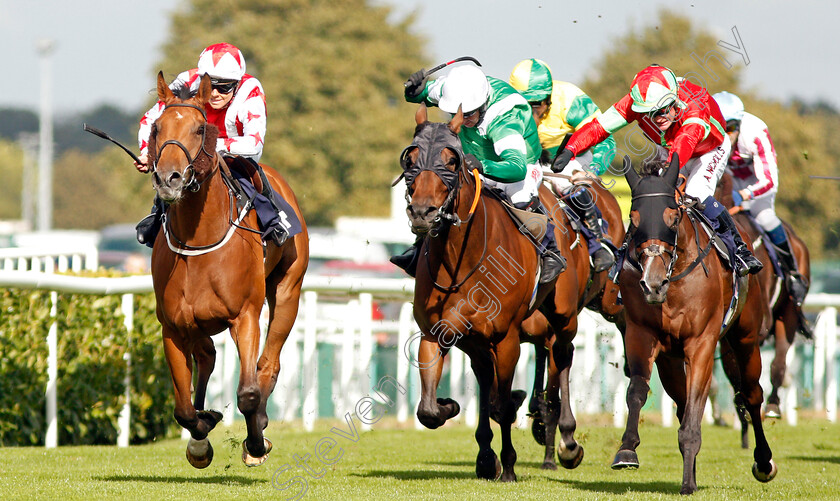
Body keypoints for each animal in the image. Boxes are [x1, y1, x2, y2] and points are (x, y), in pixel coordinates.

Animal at [148, 72, 308, 466]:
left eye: (200, 128)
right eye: (157, 127)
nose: (169, 178)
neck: (198, 243)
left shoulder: (245, 315)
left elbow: (248, 392)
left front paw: (256, 443)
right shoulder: (173, 325)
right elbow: (182, 409)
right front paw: (201, 436)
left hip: (288, 291)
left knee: (268, 363)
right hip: (196, 323)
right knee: (207, 357)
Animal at [404, 102, 588, 480]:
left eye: (451, 160)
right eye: (410, 158)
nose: (422, 212)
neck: (460, 259)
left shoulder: (506, 339)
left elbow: (502, 406)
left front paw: (510, 466)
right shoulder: (435, 333)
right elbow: (429, 410)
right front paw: (450, 407)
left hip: (563, 316)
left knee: (562, 354)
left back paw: (566, 439)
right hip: (478, 343)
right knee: (488, 381)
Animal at [612, 155, 776, 492]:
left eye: (672, 218)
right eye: (633, 218)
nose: (652, 283)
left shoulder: (701, 344)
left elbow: (696, 410)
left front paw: (688, 482)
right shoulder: (641, 334)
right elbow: (637, 389)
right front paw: (627, 449)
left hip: (746, 338)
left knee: (751, 394)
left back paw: (764, 461)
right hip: (671, 360)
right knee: (682, 402)